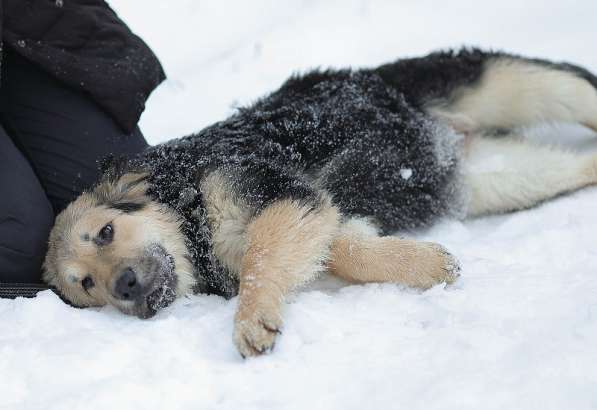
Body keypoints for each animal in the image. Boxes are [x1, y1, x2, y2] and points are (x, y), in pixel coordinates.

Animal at [43, 47, 596, 356]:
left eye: (106, 233)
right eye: (86, 285)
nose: (124, 286)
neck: (191, 217)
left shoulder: (274, 192)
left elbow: (263, 258)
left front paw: (252, 319)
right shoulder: (315, 213)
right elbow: (346, 250)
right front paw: (428, 264)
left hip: (510, 83)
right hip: (503, 180)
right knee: (569, 166)